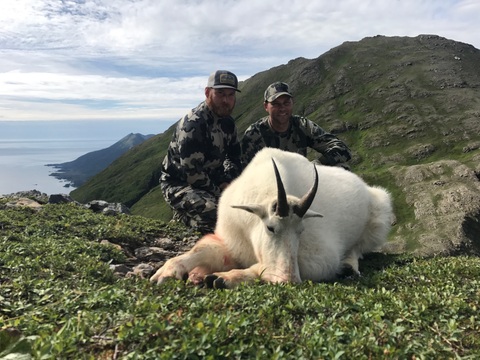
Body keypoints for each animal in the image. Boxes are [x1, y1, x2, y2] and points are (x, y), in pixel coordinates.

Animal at [151, 148, 394, 288]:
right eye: (270, 228)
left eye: (301, 231)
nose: (290, 281)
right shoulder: (231, 240)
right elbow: (204, 249)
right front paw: (169, 271)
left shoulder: (321, 257)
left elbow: (264, 266)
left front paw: (222, 277)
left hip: (380, 214)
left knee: (358, 248)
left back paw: (348, 266)